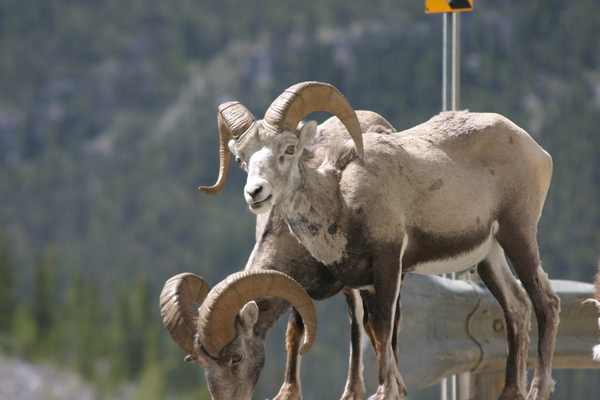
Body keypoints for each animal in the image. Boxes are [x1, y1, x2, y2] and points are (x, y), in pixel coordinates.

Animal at [206, 82, 564, 400]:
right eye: (241, 159)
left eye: (290, 149)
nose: (256, 193)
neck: (341, 202)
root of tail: (537, 150)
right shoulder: (364, 282)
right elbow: (375, 334)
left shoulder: (389, 261)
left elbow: (382, 327)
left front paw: (384, 392)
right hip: (489, 256)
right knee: (516, 307)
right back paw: (510, 392)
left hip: (518, 235)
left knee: (545, 302)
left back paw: (538, 389)